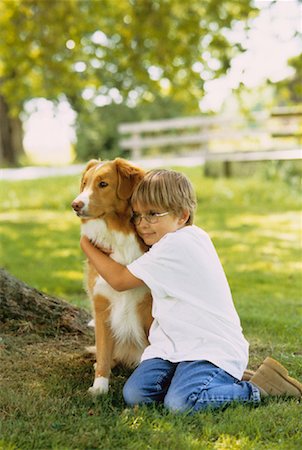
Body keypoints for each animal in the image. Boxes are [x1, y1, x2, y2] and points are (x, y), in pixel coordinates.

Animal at [72, 157, 152, 394]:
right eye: (85, 183)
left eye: (103, 184)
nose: (75, 205)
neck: (116, 234)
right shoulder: (101, 306)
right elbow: (104, 350)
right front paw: (99, 387)